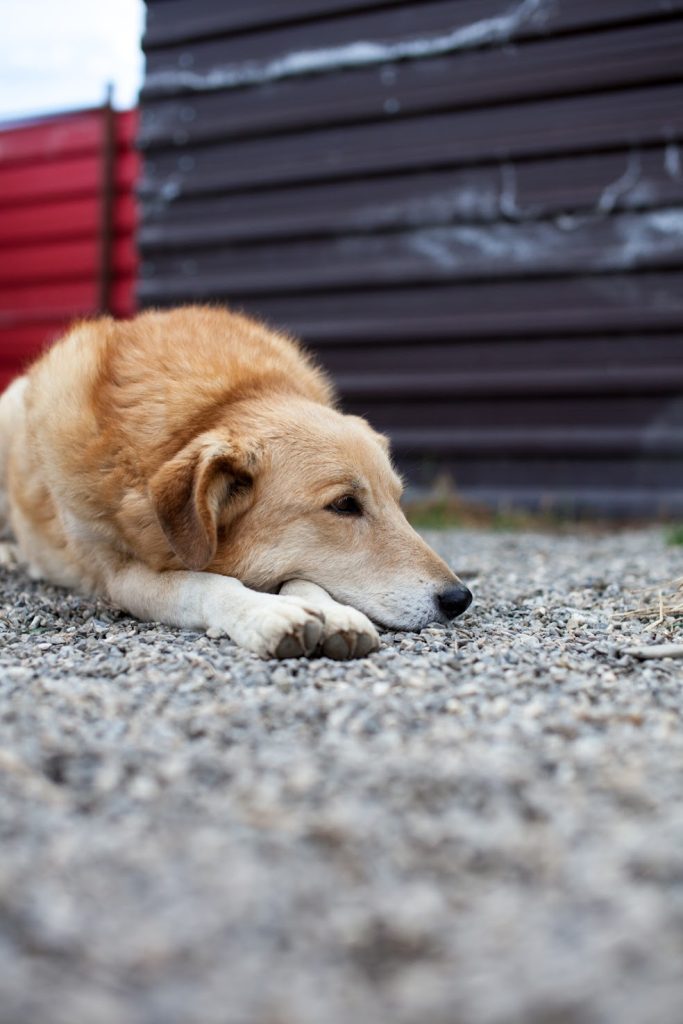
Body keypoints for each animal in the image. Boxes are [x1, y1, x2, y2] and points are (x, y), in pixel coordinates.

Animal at [0, 303, 473, 659]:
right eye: (344, 505)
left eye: (398, 501)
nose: (459, 599)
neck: (216, 408)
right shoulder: (121, 575)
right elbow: (205, 584)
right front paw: (267, 613)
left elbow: (307, 579)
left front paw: (333, 613)